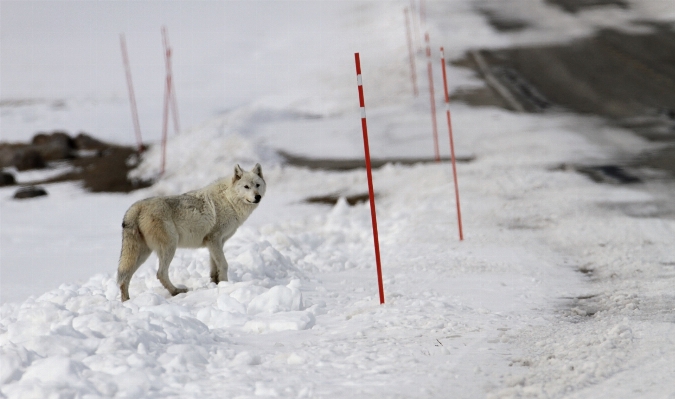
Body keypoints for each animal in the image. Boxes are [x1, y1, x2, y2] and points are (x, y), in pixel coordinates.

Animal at [116, 164, 264, 302]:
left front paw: (215, 285)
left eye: (257, 185)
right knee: (160, 273)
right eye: (246, 187)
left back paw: (126, 301)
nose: (258, 197)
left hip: (142, 254)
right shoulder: (214, 239)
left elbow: (214, 268)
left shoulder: (216, 243)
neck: (228, 200)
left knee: (125, 277)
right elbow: (223, 264)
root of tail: (136, 207)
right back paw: (176, 291)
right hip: (169, 247)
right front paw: (225, 285)